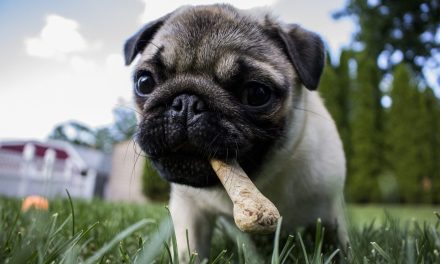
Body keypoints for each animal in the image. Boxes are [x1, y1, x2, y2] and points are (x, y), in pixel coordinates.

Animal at [124, 3, 348, 260]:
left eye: (256, 94)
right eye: (144, 82)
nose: (186, 103)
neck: (260, 180)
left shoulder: (331, 211)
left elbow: (340, 246)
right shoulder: (189, 210)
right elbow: (187, 250)